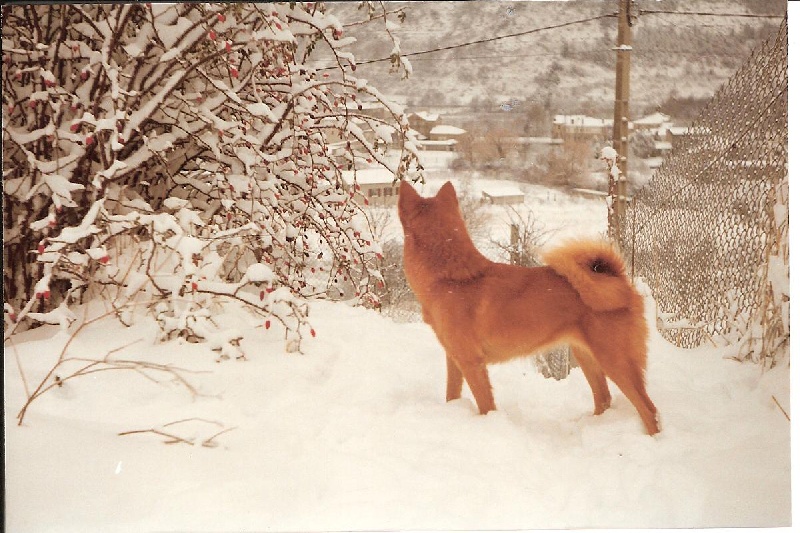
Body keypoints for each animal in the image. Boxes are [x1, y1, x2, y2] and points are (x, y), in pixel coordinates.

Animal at [398, 180, 659, 435]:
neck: (453, 278)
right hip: (587, 357)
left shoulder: (472, 362)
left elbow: (485, 404)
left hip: (616, 361)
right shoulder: (454, 359)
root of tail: (621, 283)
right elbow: (451, 395)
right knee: (603, 399)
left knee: (648, 409)